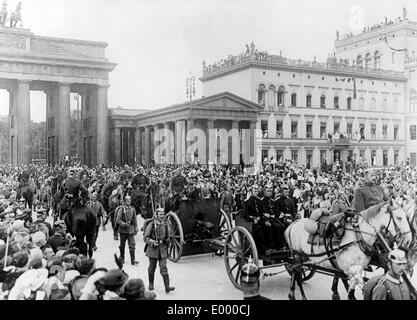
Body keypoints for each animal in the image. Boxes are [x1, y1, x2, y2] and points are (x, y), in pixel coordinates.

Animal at [284, 200, 412, 300]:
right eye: (399, 218)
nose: (408, 240)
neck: (358, 236)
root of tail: (293, 223)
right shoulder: (348, 268)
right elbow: (350, 288)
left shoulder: (355, 268)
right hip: (297, 257)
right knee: (296, 274)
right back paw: (295, 295)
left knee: (298, 274)